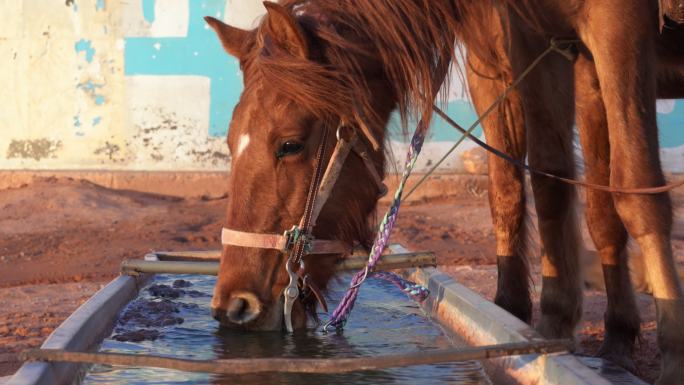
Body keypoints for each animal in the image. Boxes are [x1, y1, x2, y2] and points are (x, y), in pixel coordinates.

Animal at [207, 2, 684, 380]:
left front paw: (670, 356)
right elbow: (543, 181)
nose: (234, 306)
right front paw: (550, 329)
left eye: (290, 145)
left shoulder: (612, 28)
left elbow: (632, 187)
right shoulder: (533, 49)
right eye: (229, 141)